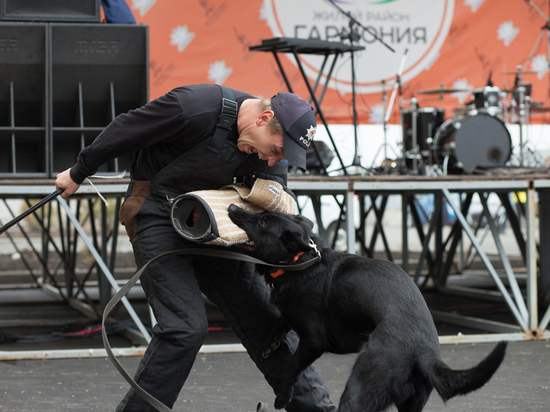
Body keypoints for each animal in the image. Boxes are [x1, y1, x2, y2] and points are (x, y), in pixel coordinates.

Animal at [229, 205, 508, 412]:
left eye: (263, 222)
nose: (232, 207)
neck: (299, 262)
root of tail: (424, 351)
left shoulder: (314, 342)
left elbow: (291, 367)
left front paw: (283, 395)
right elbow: (282, 319)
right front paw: (269, 343)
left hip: (359, 388)